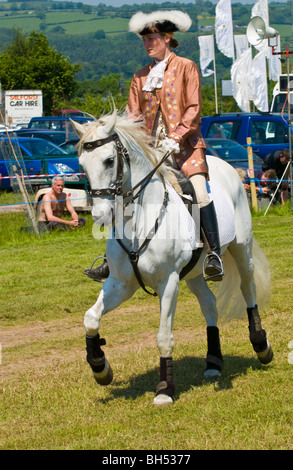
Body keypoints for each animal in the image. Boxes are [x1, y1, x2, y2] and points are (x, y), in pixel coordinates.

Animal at [72, 111, 272, 408]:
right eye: (82, 164)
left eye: (109, 160)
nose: (100, 215)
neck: (139, 220)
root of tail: (227, 168)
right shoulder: (120, 284)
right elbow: (91, 319)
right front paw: (100, 367)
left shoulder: (168, 282)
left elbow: (164, 337)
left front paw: (165, 389)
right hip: (194, 275)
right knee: (210, 306)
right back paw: (213, 363)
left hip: (241, 249)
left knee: (248, 290)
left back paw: (261, 346)